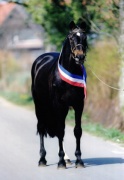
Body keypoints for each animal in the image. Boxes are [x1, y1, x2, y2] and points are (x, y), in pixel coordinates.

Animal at [31, 21, 87, 169]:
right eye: (71, 38)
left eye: (84, 37)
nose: (80, 57)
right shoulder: (58, 105)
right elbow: (60, 130)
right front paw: (61, 162)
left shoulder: (78, 105)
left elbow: (77, 131)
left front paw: (79, 160)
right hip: (40, 105)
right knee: (42, 127)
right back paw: (42, 159)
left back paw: (66, 158)